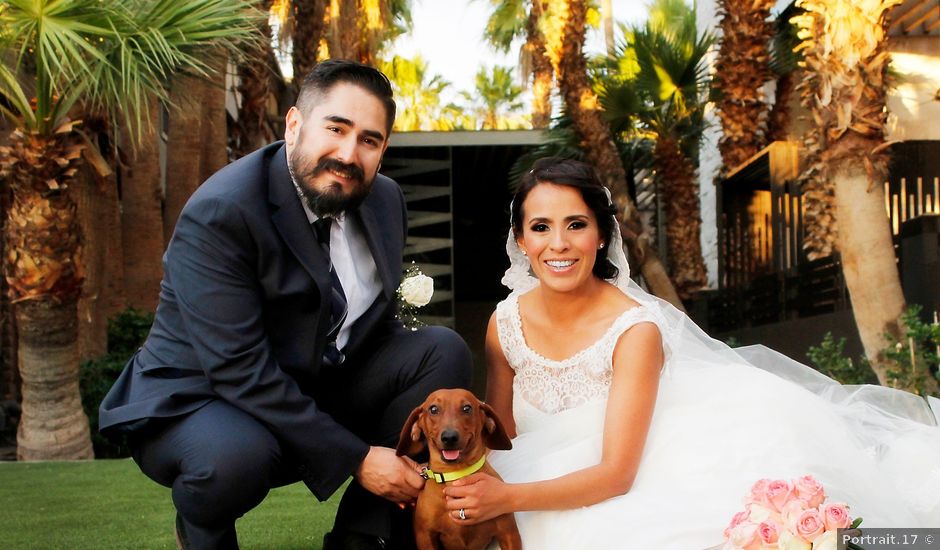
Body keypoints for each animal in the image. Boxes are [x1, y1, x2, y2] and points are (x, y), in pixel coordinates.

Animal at [394, 390, 520, 550]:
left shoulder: (508, 533)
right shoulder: (425, 536)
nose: (449, 437)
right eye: (433, 409)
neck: (455, 474)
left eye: (467, 408)